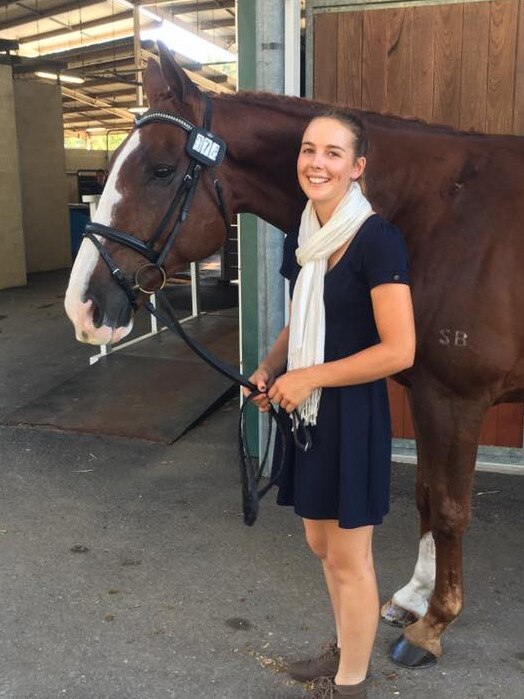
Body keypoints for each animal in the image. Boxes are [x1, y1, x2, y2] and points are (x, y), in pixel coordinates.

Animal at [64, 46, 524, 668]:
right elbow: (427, 495)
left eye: (160, 170)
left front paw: (434, 624)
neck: (439, 209)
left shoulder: (456, 400)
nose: (82, 306)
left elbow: (450, 507)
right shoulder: (431, 396)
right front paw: (413, 597)